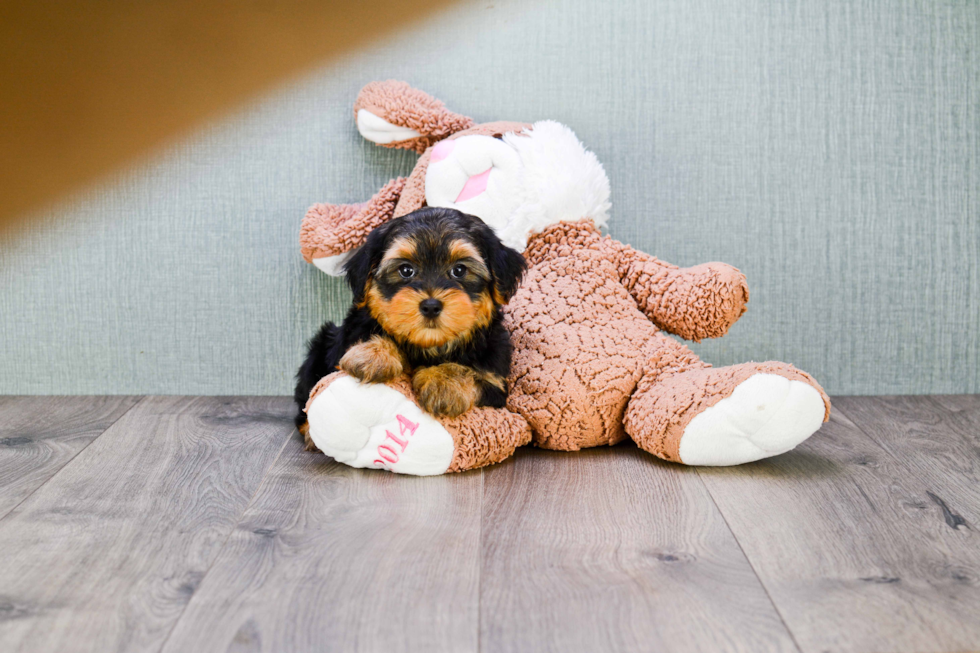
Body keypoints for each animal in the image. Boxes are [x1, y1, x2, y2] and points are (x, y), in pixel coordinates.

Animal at [294, 208, 528, 448]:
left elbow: (473, 374)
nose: (431, 306)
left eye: (459, 270)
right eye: (406, 270)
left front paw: (445, 382)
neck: (428, 345)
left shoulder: (495, 381)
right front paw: (374, 354)